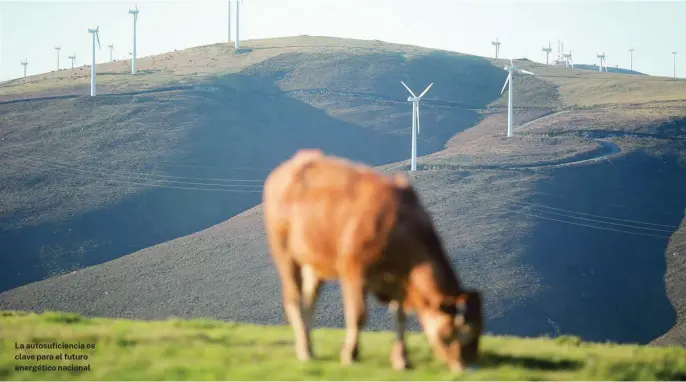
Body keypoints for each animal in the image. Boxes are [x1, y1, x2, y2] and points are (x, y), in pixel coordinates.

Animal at [264, 149, 484, 374]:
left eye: (479, 332)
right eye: (458, 332)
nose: (470, 368)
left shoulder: (399, 281)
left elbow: (400, 317)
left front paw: (402, 360)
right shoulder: (354, 272)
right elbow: (358, 315)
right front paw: (350, 355)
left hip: (314, 262)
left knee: (309, 301)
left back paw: (309, 347)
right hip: (284, 253)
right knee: (294, 300)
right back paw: (305, 351)